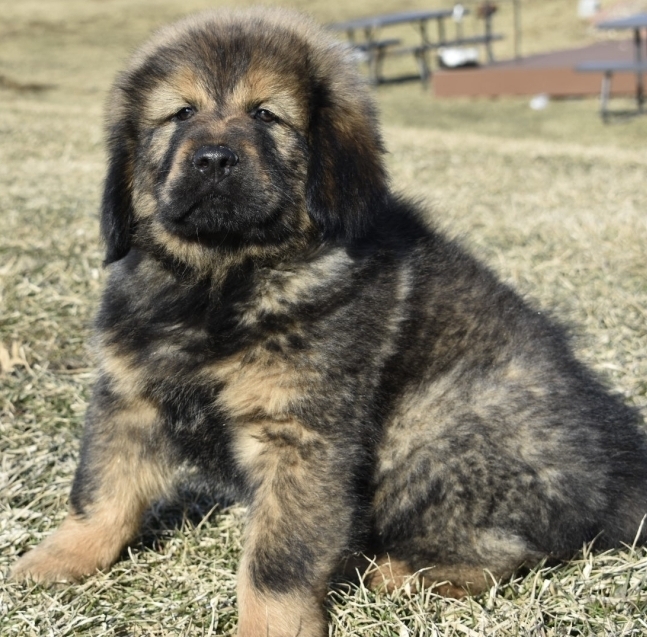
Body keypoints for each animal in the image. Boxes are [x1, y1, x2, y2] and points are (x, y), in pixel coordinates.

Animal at [11, 6, 647, 636]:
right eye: (181, 113)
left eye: (266, 115)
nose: (213, 159)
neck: (223, 280)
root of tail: (618, 477)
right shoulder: (128, 396)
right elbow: (101, 491)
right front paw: (57, 559)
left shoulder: (303, 435)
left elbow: (276, 561)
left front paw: (270, 626)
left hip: (436, 426)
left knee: (512, 548)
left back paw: (402, 573)